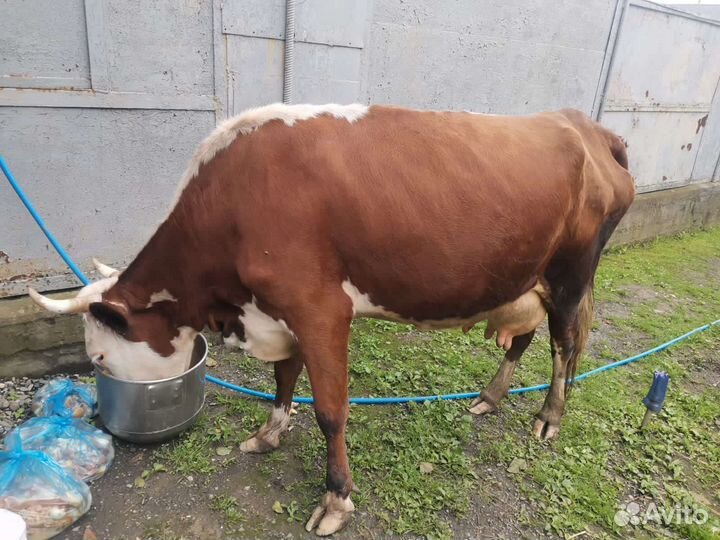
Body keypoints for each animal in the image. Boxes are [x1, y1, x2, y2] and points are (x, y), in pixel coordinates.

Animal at [29, 103, 635, 536]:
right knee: (524, 337)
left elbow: (330, 411)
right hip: (523, 277)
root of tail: (584, 125)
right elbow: (284, 379)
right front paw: (268, 434)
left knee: (564, 345)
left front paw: (336, 499)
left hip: (571, 275)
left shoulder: (319, 307)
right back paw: (489, 397)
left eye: (99, 355)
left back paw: (550, 415)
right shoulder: (280, 310)